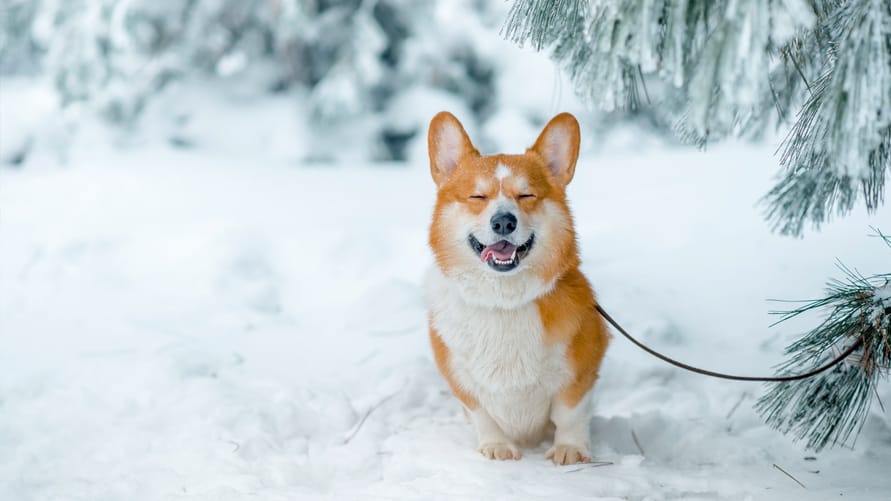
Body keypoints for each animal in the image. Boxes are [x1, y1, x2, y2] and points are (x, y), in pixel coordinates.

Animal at [422, 111, 608, 462]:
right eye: (477, 197)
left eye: (526, 195)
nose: (504, 221)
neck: (503, 301)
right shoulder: (460, 378)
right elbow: (481, 413)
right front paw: (496, 447)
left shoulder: (581, 370)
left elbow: (570, 414)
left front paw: (569, 449)